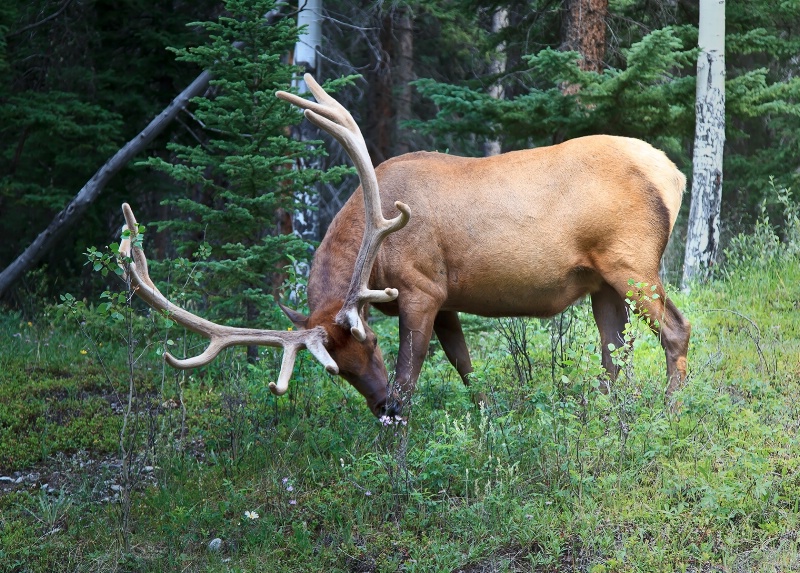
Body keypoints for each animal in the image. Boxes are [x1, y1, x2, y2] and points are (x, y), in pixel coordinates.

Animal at [119, 73, 688, 418]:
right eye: (340, 371)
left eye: (370, 341)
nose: (381, 410)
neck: (376, 257)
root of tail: (673, 172)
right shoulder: (447, 297)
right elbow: (465, 366)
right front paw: (484, 417)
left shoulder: (421, 288)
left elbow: (411, 375)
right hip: (601, 283)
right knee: (615, 354)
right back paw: (612, 414)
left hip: (632, 262)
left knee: (675, 330)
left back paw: (671, 410)